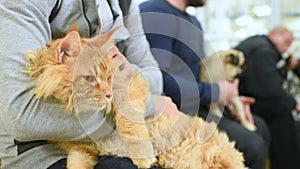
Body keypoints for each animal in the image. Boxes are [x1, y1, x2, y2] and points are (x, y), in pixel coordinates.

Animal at [24, 27, 246, 168]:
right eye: (90, 78)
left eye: (110, 77)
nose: (108, 94)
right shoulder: (81, 150)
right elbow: (75, 163)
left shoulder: (134, 88)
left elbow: (130, 124)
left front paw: (143, 156)